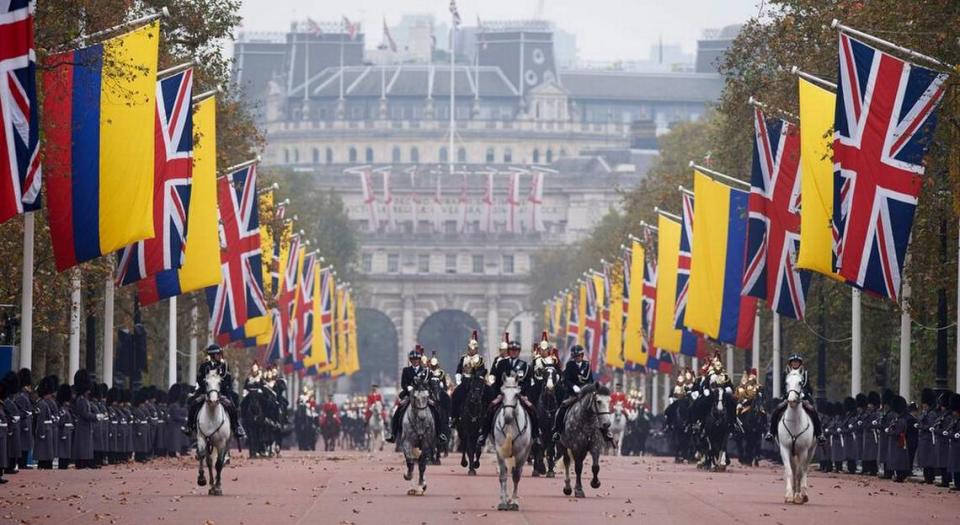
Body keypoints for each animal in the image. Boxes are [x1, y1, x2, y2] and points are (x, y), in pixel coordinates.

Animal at [196, 368, 232, 496]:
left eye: (220, 382)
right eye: (206, 382)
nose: (213, 400)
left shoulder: (221, 443)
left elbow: (219, 463)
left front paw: (218, 487)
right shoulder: (202, 438)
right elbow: (203, 457)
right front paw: (202, 479)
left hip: (225, 443)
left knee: (219, 462)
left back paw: (217, 485)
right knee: (210, 461)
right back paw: (211, 485)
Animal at [492, 374, 536, 510]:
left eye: (517, 395)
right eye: (502, 393)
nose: (507, 417)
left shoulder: (521, 453)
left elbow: (516, 476)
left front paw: (514, 502)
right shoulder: (500, 451)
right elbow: (503, 475)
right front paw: (503, 501)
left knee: (517, 472)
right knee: (506, 472)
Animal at [776, 368, 812, 504]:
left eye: (800, 383)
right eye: (786, 383)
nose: (791, 400)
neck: (795, 423)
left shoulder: (803, 450)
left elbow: (799, 473)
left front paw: (797, 496)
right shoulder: (784, 449)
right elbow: (789, 471)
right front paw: (789, 495)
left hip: (811, 451)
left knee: (804, 469)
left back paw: (803, 494)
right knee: (794, 468)